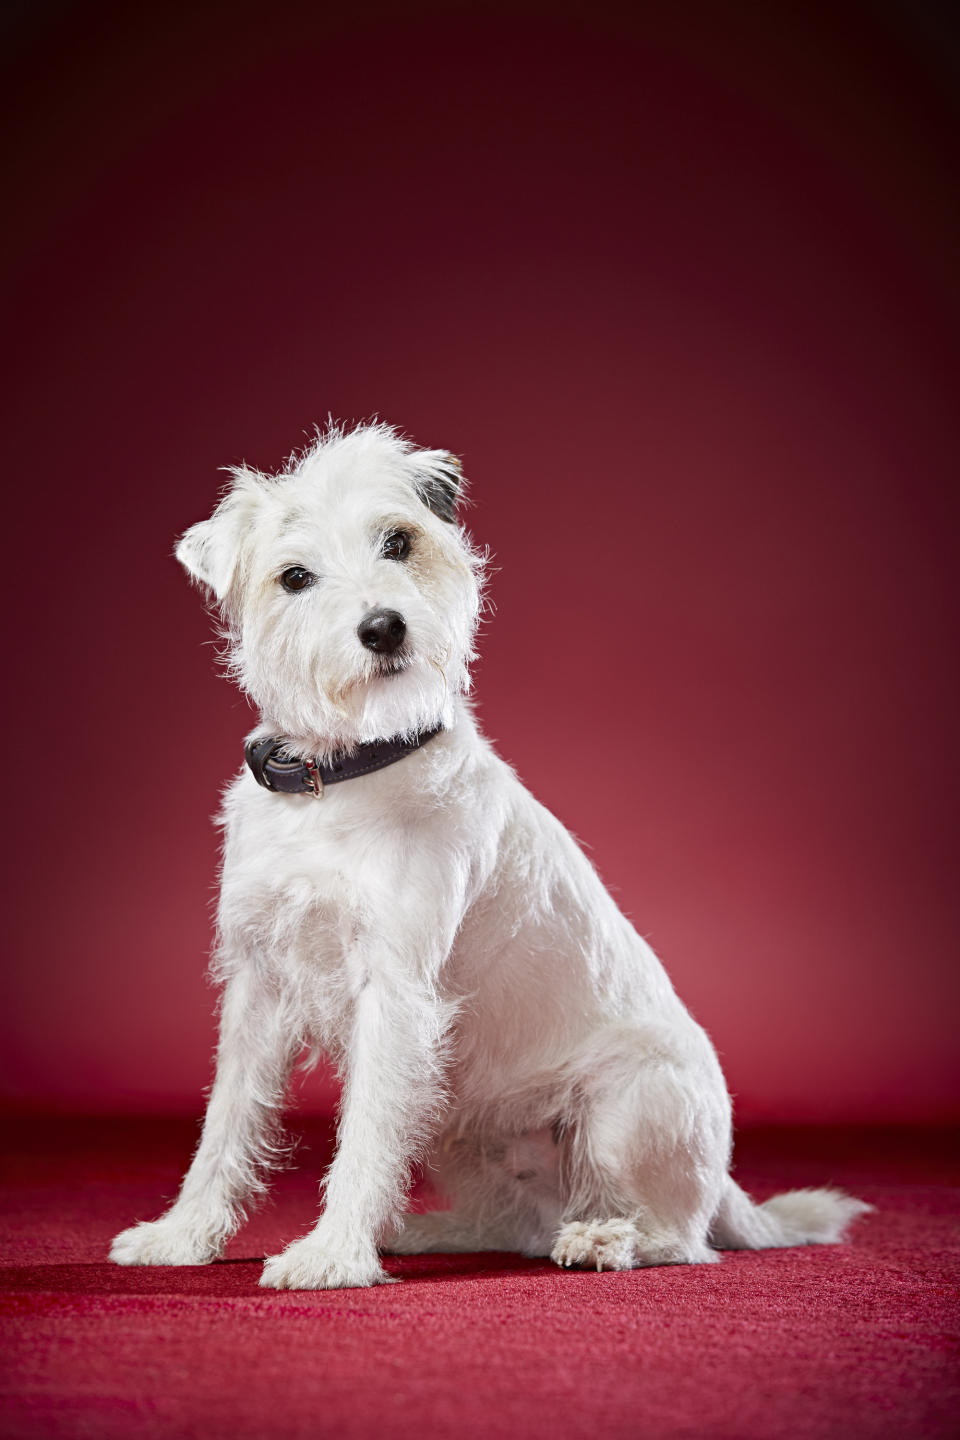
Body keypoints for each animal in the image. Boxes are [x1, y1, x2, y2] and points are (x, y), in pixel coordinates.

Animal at [110, 420, 869, 1290]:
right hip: (453, 1121)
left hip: (624, 1112)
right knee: (518, 1222)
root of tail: (724, 1183)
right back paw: (425, 1231)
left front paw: (333, 1254)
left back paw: (602, 1239)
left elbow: (363, 1133)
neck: (342, 774)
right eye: (294, 576)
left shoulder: (395, 994)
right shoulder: (258, 986)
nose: (384, 627)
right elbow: (226, 1123)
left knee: (674, 1237)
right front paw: (183, 1235)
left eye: (398, 541)